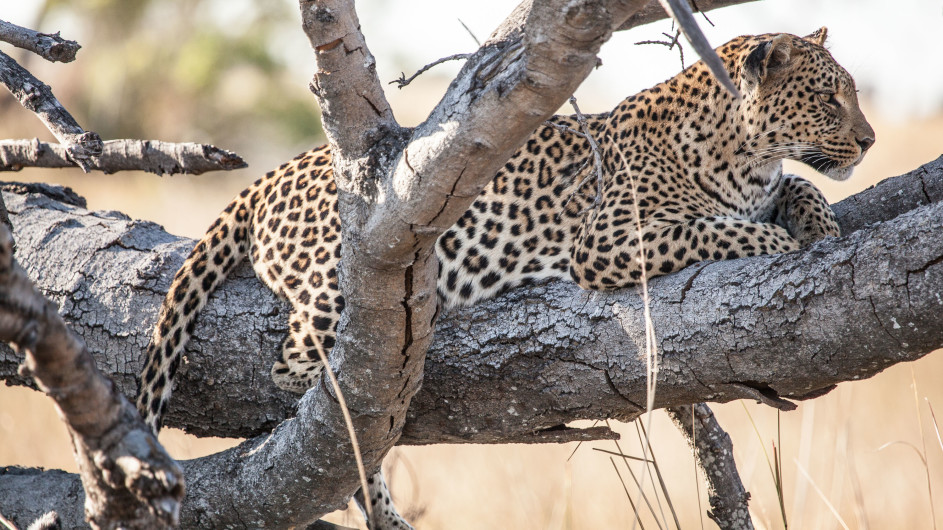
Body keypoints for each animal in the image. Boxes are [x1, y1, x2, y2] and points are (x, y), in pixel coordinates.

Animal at [135, 26, 876, 524]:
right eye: (828, 99)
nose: (868, 141)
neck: (748, 154)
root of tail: (266, 177)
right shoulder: (606, 239)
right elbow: (720, 229)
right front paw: (780, 238)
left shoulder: (767, 185)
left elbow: (801, 191)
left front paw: (823, 227)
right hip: (340, 285)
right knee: (303, 376)